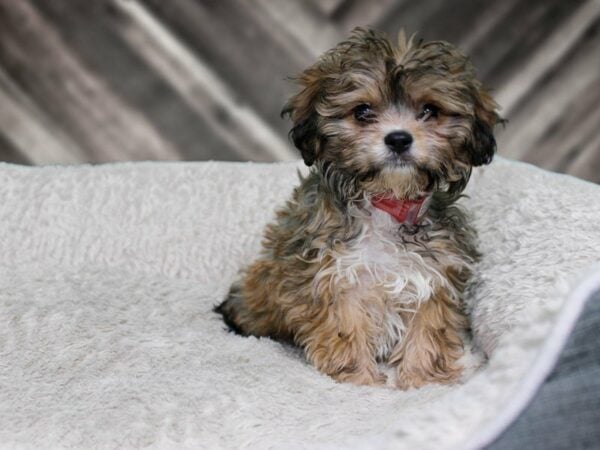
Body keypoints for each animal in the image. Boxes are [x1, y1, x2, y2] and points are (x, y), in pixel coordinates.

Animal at [216, 28, 502, 388]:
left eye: (430, 110)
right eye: (362, 111)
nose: (398, 139)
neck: (388, 200)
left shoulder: (436, 272)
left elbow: (428, 327)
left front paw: (422, 379)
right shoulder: (333, 275)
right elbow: (345, 329)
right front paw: (359, 380)